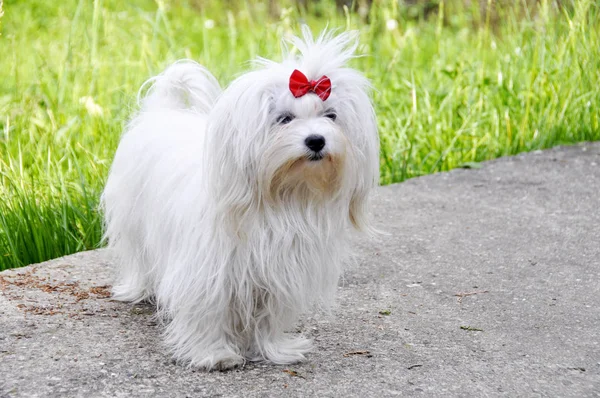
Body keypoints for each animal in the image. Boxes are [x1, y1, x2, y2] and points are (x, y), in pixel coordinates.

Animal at [101, 27, 378, 370]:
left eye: (331, 116)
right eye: (284, 119)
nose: (316, 140)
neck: (280, 198)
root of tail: (166, 110)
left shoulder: (282, 269)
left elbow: (271, 314)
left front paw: (274, 349)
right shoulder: (207, 269)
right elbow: (206, 309)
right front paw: (213, 354)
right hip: (134, 223)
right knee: (138, 257)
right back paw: (137, 289)